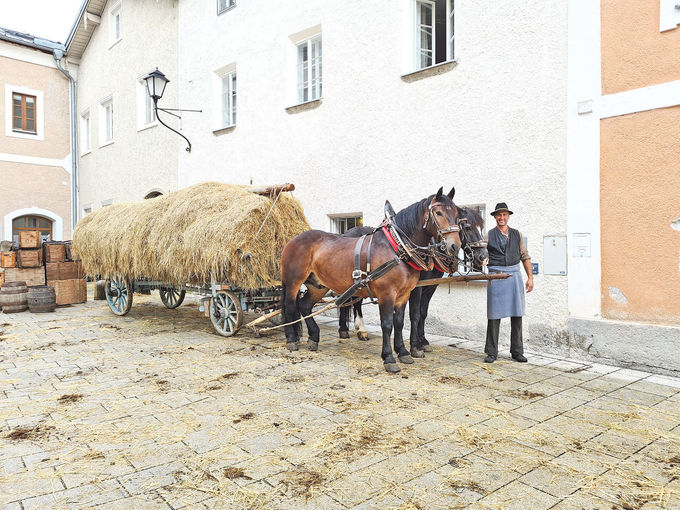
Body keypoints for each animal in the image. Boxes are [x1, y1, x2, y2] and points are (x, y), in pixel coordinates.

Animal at [278, 187, 462, 370]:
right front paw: (389, 358)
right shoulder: (386, 294)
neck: (397, 247)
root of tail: (292, 240)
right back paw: (292, 340)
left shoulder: (404, 294)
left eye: (456, 214)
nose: (455, 246)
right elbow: (387, 324)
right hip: (293, 281)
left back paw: (314, 337)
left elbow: (399, 322)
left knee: (304, 306)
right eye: (438, 213)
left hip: (318, 285)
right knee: (290, 306)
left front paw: (403, 352)